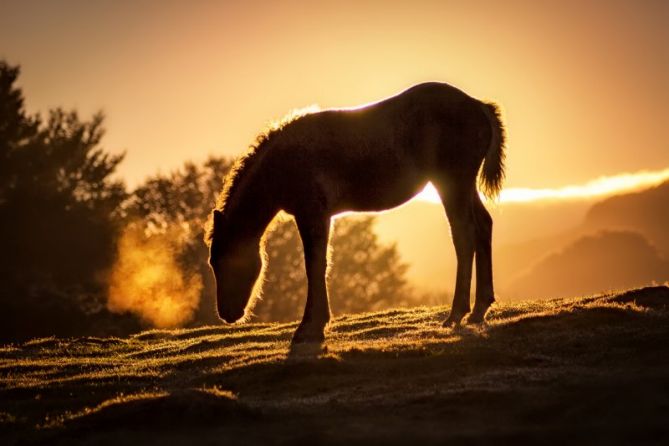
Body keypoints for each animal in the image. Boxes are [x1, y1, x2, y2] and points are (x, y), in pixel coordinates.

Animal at [206, 82, 504, 344]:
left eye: (226, 261)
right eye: (212, 262)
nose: (227, 314)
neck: (285, 161)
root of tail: (479, 106)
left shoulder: (311, 214)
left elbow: (315, 265)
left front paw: (310, 328)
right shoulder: (322, 216)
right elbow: (320, 264)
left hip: (451, 184)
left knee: (464, 236)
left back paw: (456, 313)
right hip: (464, 186)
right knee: (483, 226)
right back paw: (479, 309)